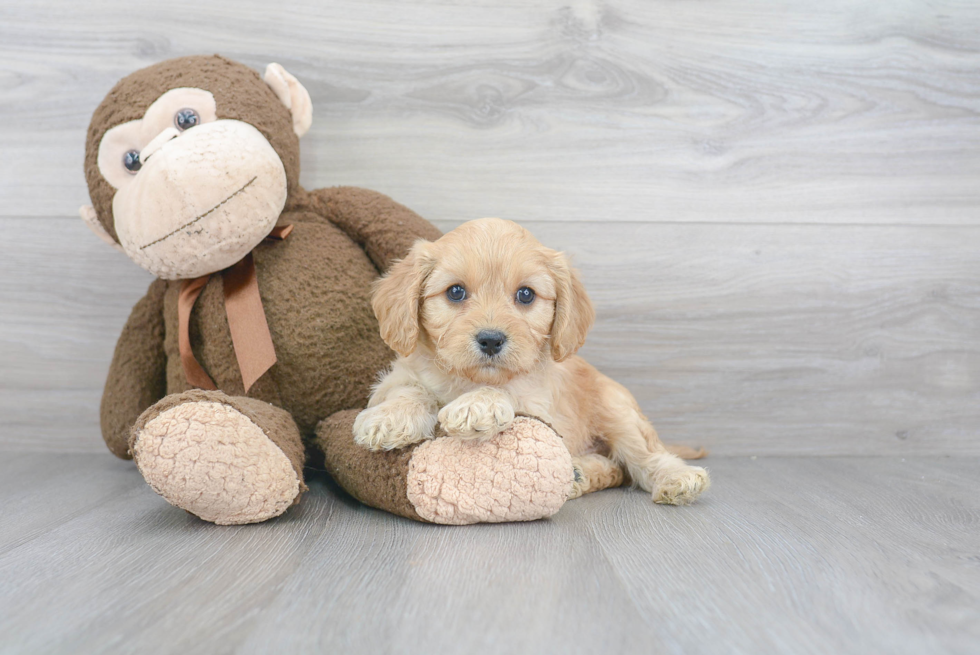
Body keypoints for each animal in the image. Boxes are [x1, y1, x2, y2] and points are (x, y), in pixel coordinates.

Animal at [356, 218, 708, 504]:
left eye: (526, 295)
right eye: (455, 292)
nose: (491, 340)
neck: (470, 379)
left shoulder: (538, 404)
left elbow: (509, 392)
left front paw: (477, 405)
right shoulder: (396, 377)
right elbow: (409, 390)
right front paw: (390, 417)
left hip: (618, 411)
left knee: (641, 457)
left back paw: (676, 477)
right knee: (615, 468)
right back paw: (579, 473)